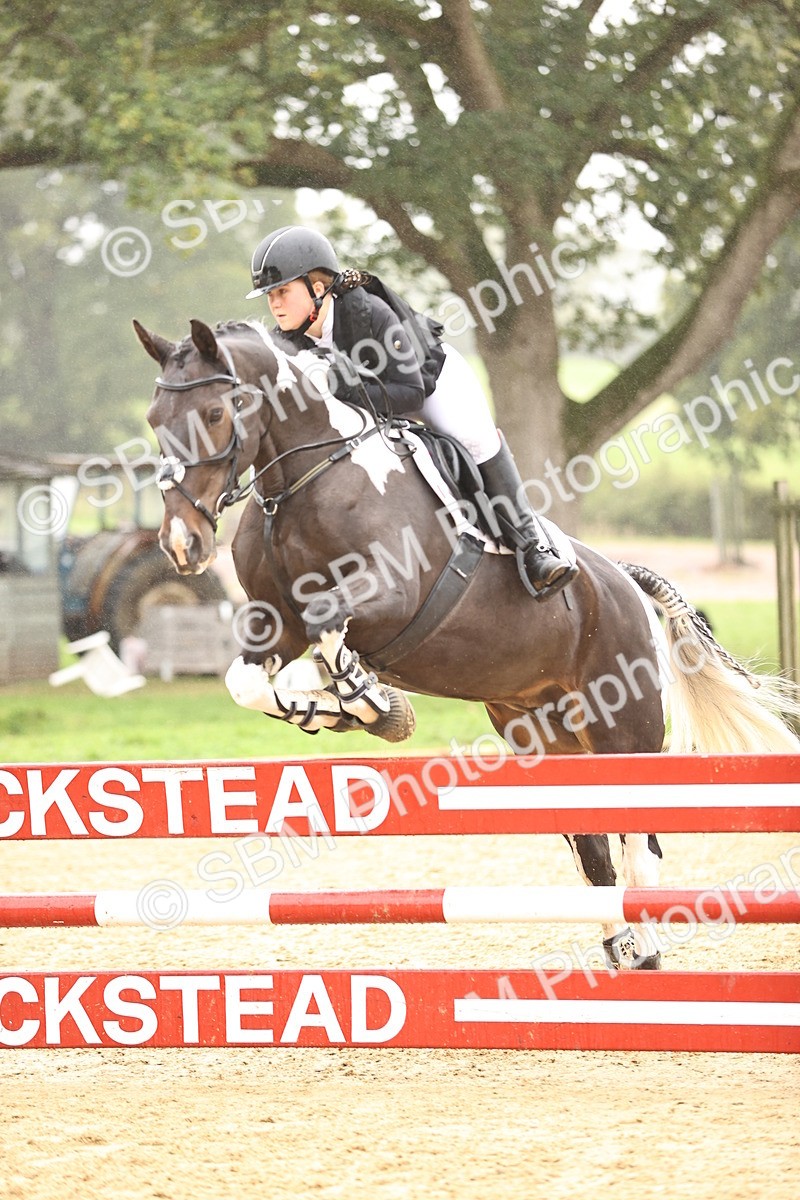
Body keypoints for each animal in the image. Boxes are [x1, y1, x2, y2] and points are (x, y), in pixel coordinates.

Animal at [134, 316, 800, 970]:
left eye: (215, 413)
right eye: (153, 420)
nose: (182, 544)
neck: (307, 475)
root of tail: (626, 582)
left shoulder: (392, 595)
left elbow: (331, 626)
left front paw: (373, 706)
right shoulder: (276, 620)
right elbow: (249, 682)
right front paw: (339, 709)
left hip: (623, 729)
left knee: (640, 845)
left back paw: (648, 954)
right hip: (544, 731)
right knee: (593, 849)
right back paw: (621, 951)